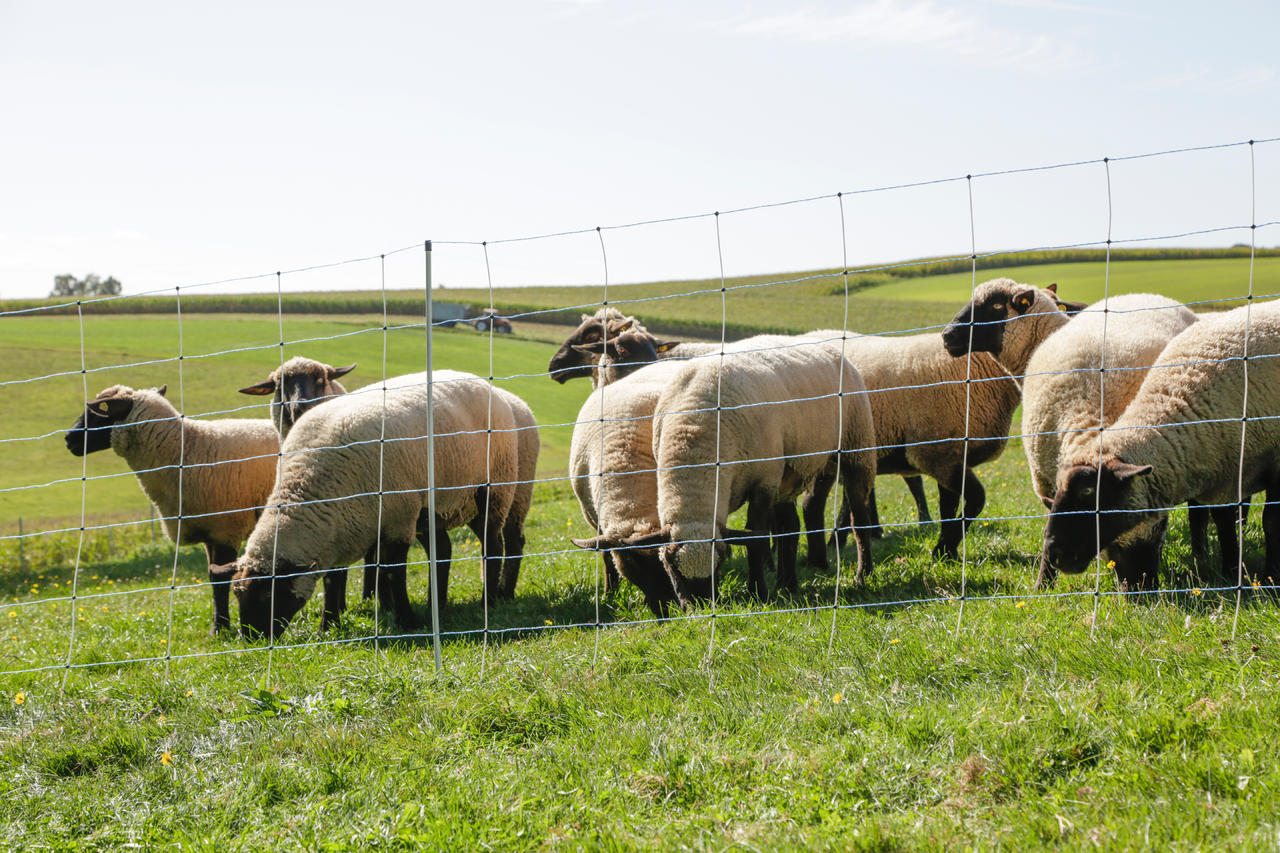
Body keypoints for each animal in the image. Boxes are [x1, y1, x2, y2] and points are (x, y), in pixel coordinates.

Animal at [63, 381, 279, 627]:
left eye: (98, 413)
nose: (68, 439)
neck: (185, 449)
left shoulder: (226, 527)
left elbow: (221, 578)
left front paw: (219, 627)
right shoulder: (208, 528)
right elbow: (212, 576)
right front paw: (221, 625)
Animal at [220, 368, 519, 635]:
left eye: (268, 596)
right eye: (238, 594)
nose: (252, 637)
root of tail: (480, 381)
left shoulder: (398, 520)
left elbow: (393, 572)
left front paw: (407, 620)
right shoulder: (340, 531)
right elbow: (333, 578)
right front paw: (328, 625)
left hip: (494, 487)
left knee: (492, 544)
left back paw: (488, 602)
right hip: (431, 508)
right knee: (443, 551)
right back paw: (438, 604)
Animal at [576, 335, 875, 607]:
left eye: (718, 564)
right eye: (670, 567)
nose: (699, 607)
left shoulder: (762, 482)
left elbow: (756, 541)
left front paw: (758, 593)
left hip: (856, 445)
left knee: (859, 518)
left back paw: (864, 576)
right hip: (790, 471)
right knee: (790, 525)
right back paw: (787, 584)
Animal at [1018, 294, 1208, 584]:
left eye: (1160, 531)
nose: (1142, 585)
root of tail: (1142, 294)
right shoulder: (1047, 486)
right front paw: (1044, 583)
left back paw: (1201, 556)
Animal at [1039, 300, 1280, 591]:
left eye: (1088, 492)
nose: (1054, 554)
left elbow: (1270, 522)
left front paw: (1269, 577)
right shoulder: (1226, 473)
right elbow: (1225, 524)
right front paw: (1232, 574)